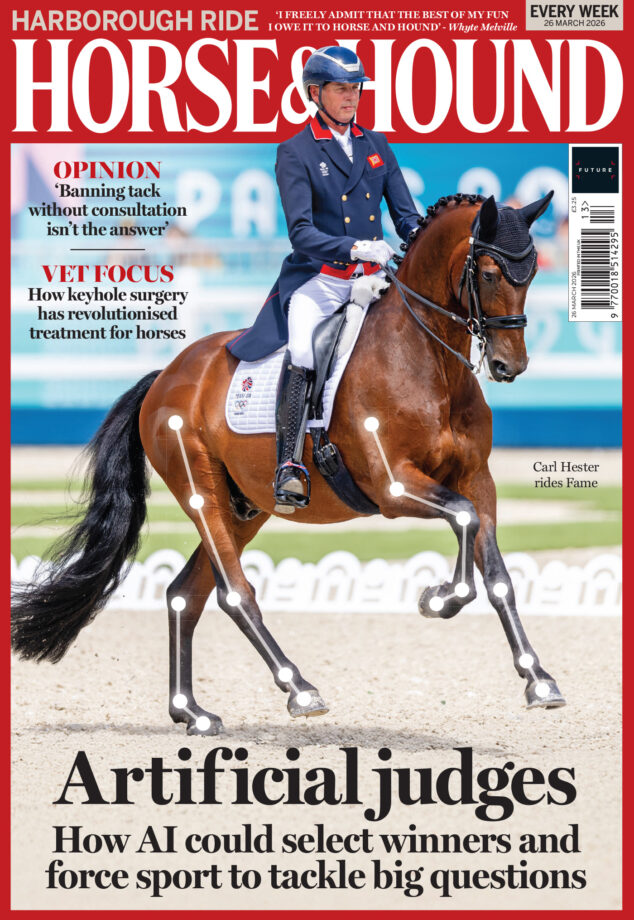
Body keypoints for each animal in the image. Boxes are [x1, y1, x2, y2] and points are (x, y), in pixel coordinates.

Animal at [11, 191, 565, 735]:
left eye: (532, 273)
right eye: (489, 273)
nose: (510, 365)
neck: (430, 362)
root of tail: (166, 376)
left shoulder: (477, 480)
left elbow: (496, 572)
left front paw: (538, 680)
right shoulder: (393, 486)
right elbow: (464, 522)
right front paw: (439, 598)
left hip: (245, 509)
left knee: (184, 593)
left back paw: (193, 713)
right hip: (202, 494)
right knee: (235, 593)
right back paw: (299, 689)